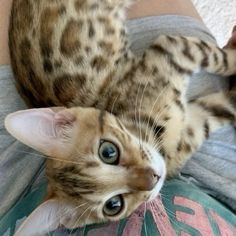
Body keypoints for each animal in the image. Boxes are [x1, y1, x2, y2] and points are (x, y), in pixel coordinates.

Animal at [5, 0, 236, 234]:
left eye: (108, 151)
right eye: (113, 205)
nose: (153, 178)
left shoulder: (171, 49)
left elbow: (218, 57)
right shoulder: (194, 124)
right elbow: (224, 104)